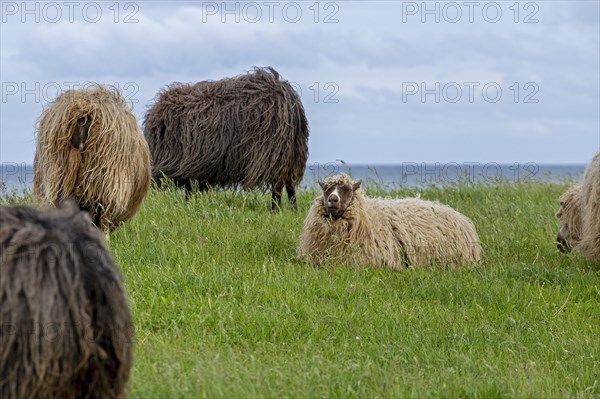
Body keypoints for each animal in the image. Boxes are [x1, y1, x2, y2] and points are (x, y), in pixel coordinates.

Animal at [144, 66, 310, 209]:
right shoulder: (192, 168)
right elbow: (189, 190)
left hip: (275, 153)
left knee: (278, 186)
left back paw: (275, 211)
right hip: (290, 154)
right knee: (290, 185)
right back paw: (293, 210)